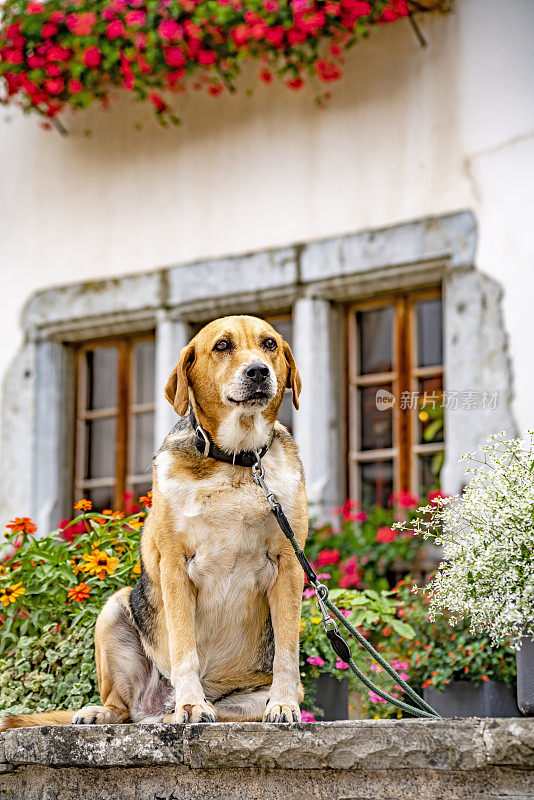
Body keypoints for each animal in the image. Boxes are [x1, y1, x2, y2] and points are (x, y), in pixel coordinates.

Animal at [2, 316, 308, 728]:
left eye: (270, 344)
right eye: (223, 345)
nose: (258, 371)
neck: (236, 460)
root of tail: (155, 706)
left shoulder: (289, 565)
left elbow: (286, 654)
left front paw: (284, 705)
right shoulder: (175, 566)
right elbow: (184, 648)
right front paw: (191, 706)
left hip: (242, 703)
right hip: (113, 608)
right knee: (123, 708)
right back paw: (123, 711)